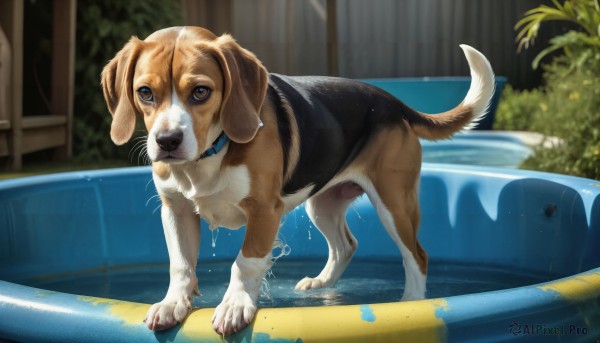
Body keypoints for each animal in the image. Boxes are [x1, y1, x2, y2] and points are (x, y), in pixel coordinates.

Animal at [101, 26, 494, 336]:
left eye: (200, 91)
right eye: (145, 92)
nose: (167, 141)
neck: (208, 154)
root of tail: (394, 103)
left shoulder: (264, 210)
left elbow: (244, 263)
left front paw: (234, 306)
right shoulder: (176, 209)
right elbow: (181, 264)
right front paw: (173, 304)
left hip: (393, 204)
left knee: (418, 255)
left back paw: (410, 302)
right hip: (322, 204)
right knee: (346, 245)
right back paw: (320, 284)